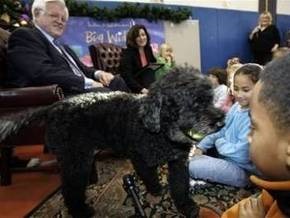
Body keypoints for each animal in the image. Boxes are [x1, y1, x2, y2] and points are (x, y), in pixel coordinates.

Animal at [0, 66, 223, 218]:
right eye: (194, 102)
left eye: (210, 98)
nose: (221, 120)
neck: (160, 131)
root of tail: (54, 106)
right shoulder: (139, 158)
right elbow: (149, 176)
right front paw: (155, 190)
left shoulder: (178, 162)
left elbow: (180, 186)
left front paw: (186, 206)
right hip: (75, 160)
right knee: (70, 189)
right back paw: (81, 211)